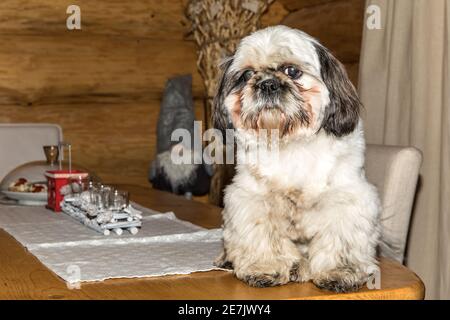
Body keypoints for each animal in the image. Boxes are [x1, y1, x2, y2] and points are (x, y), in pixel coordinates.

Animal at [213, 26, 382, 294]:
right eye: (247, 74)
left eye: (292, 71)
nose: (267, 84)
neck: (290, 143)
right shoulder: (252, 200)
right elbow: (263, 236)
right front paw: (266, 267)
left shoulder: (347, 198)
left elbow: (341, 239)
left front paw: (339, 272)